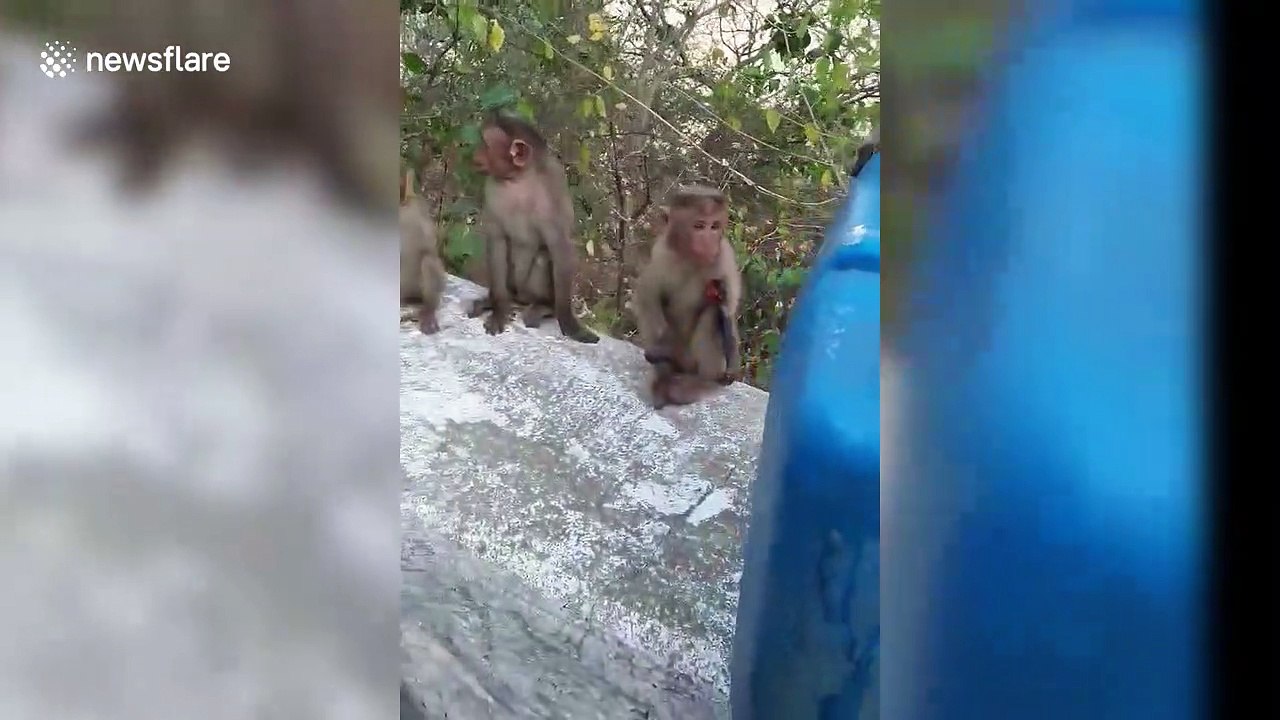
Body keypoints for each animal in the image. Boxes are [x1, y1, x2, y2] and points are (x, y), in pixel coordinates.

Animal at [466, 112, 599, 344]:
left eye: (485, 144)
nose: (476, 153)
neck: (519, 179)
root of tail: (521, 297)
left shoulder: (554, 186)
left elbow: (559, 246)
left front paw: (569, 323)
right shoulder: (491, 187)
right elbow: (497, 240)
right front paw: (499, 308)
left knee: (542, 257)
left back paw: (544, 306)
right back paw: (496, 300)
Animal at [633, 186, 742, 408]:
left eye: (714, 226)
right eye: (699, 226)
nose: (709, 241)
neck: (690, 258)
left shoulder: (724, 257)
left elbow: (726, 309)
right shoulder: (662, 253)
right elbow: (649, 296)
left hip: (693, 362)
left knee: (713, 313)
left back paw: (699, 383)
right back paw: (665, 371)